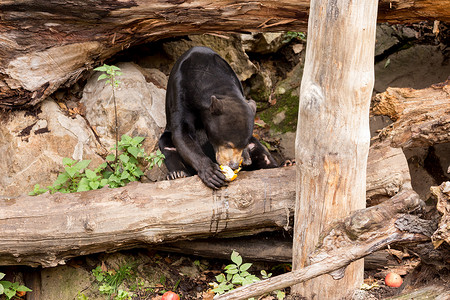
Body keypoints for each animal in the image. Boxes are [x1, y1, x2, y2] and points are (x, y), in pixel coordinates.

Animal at [158, 45, 278, 189]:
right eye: (228, 144)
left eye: (243, 145)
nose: (234, 165)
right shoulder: (180, 92)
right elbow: (182, 134)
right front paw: (212, 174)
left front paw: (246, 157)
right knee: (167, 145)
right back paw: (177, 174)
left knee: (260, 150)